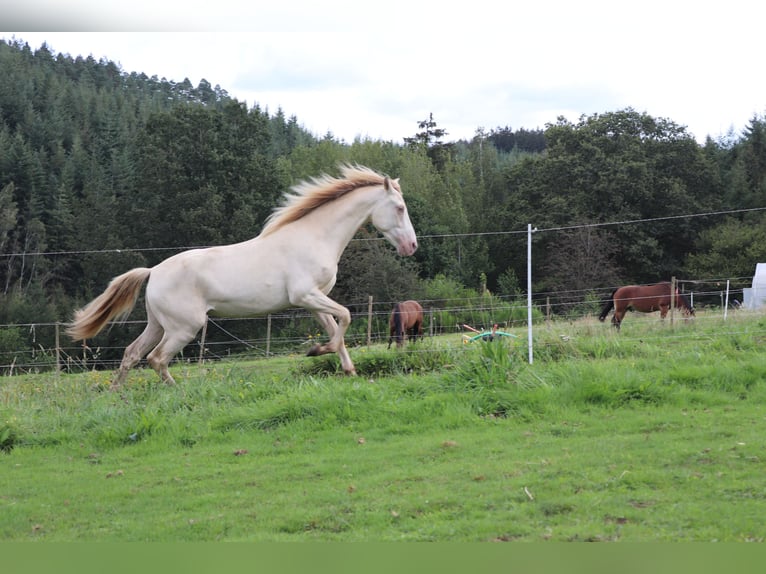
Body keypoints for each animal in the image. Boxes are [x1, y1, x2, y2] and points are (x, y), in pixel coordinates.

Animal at [67, 166, 420, 392]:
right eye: (400, 208)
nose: (412, 246)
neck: (314, 237)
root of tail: (153, 272)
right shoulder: (306, 295)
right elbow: (345, 317)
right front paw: (316, 352)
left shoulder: (313, 301)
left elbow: (338, 329)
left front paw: (347, 369)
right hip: (185, 327)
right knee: (157, 359)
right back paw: (176, 391)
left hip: (158, 324)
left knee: (132, 354)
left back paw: (116, 394)